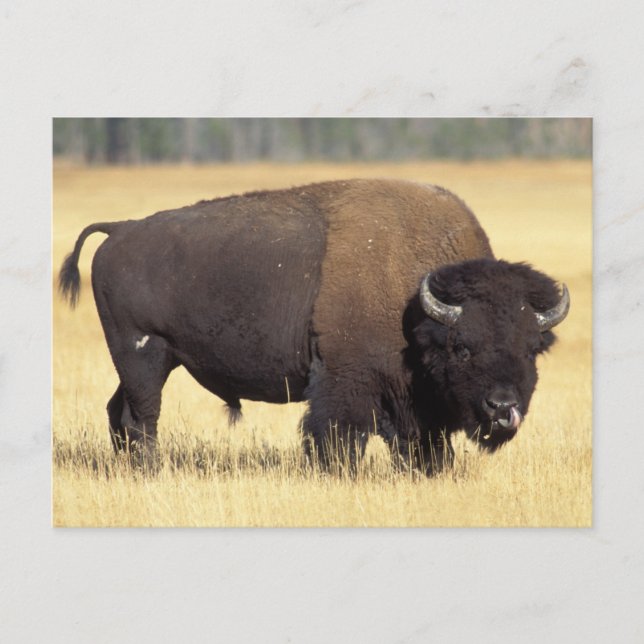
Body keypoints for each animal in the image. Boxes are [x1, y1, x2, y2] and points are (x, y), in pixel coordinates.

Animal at [58, 178, 569, 473]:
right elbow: (338, 435)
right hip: (143, 354)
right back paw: (151, 469)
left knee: (119, 412)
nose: (502, 407)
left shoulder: (413, 402)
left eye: (531, 349)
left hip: (152, 361)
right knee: (142, 417)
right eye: (462, 347)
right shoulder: (346, 380)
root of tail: (121, 230)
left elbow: (421, 445)